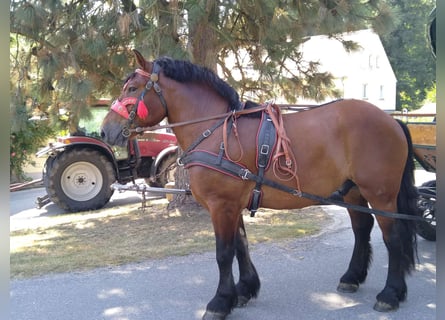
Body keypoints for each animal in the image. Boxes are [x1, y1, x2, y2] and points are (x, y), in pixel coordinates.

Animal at [100, 50, 416, 320]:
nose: (105, 131)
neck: (218, 131)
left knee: (393, 238)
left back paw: (391, 293)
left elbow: (224, 253)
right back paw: (352, 277)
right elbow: (241, 246)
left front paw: (220, 302)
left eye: (132, 89)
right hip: (353, 191)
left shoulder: (222, 206)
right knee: (362, 229)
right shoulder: (232, 205)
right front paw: (243, 290)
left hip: (381, 195)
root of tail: (391, 120)